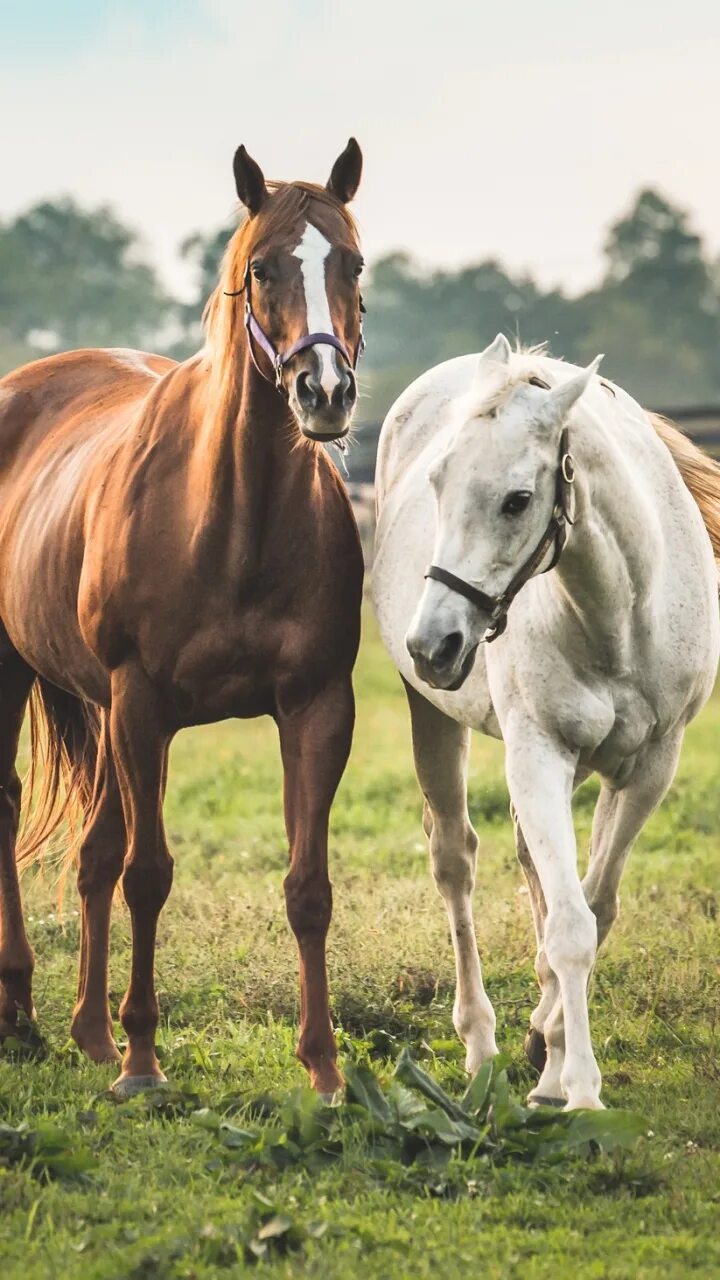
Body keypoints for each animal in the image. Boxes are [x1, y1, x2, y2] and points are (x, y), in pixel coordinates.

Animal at [0, 140, 363, 1100]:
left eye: (352, 263)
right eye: (262, 267)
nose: (324, 393)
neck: (232, 517)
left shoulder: (317, 708)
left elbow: (307, 886)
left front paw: (325, 1071)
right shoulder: (143, 705)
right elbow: (150, 874)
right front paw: (142, 1062)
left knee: (92, 850)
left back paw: (85, 1032)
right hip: (24, 676)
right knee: (15, 809)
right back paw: (25, 1013)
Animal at [371, 337, 712, 1111]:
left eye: (517, 499)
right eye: (437, 482)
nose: (432, 645)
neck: (618, 615)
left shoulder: (650, 769)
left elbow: (595, 906)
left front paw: (554, 1055)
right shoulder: (539, 756)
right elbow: (571, 924)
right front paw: (578, 1087)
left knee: (535, 870)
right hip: (436, 721)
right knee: (455, 862)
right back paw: (482, 1044)